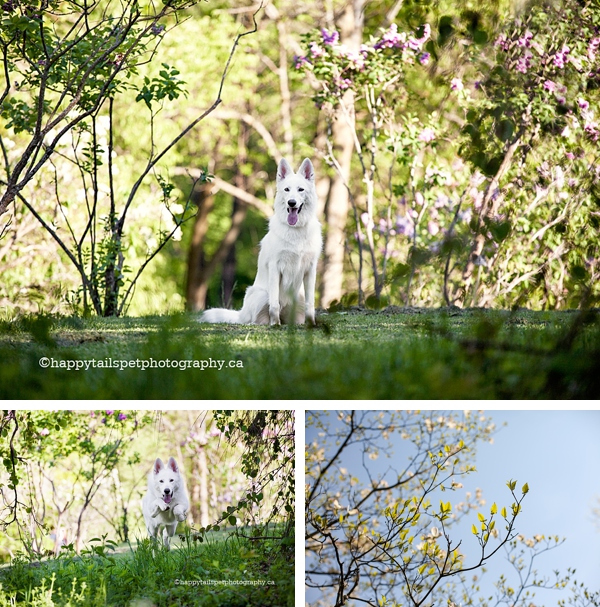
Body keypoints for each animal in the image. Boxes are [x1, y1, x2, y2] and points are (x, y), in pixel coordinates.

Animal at [200, 159, 324, 326]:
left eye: (300, 190)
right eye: (286, 189)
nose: (291, 203)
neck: (295, 230)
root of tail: (241, 314)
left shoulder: (310, 269)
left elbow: (311, 304)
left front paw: (311, 324)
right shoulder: (275, 267)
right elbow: (274, 304)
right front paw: (275, 324)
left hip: (298, 298)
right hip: (260, 294)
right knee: (256, 318)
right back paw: (265, 323)